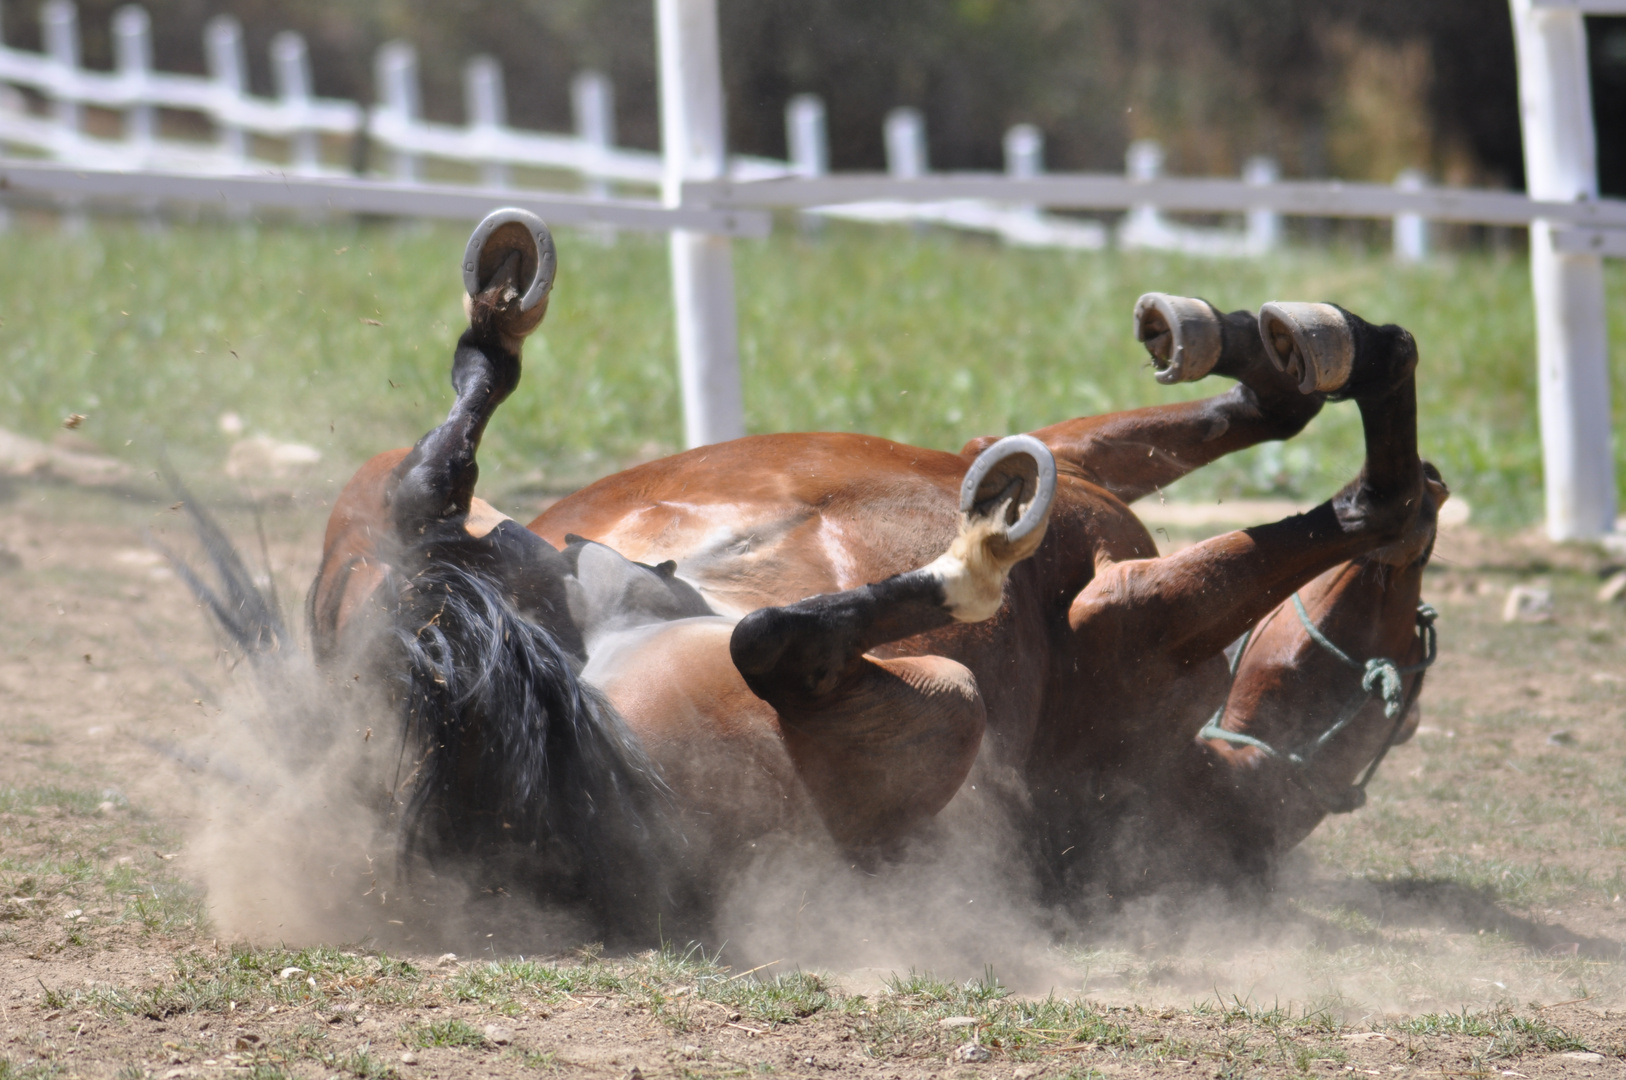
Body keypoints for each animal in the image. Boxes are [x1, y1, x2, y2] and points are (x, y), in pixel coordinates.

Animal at [299, 211, 1443, 936]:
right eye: (1413, 639)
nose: (1422, 564)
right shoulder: (1069, 495)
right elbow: (1265, 427)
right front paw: (1296, 353)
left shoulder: (1120, 625)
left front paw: (1364, 434)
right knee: (439, 498)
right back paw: (500, 306)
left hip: (936, 698)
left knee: (769, 639)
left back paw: (974, 557)